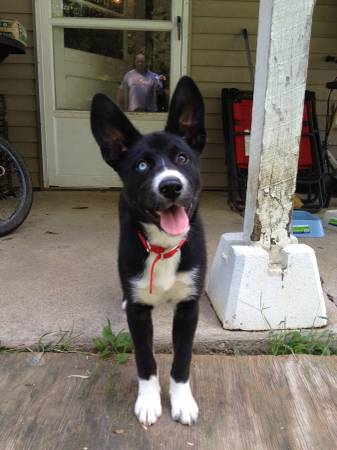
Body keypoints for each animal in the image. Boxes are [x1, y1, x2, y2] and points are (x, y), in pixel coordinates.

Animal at [90, 76, 206, 426]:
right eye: (142, 165)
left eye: (182, 158)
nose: (171, 186)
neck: (164, 248)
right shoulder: (138, 314)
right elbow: (145, 359)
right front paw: (148, 401)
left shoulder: (189, 307)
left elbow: (183, 358)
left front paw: (182, 401)